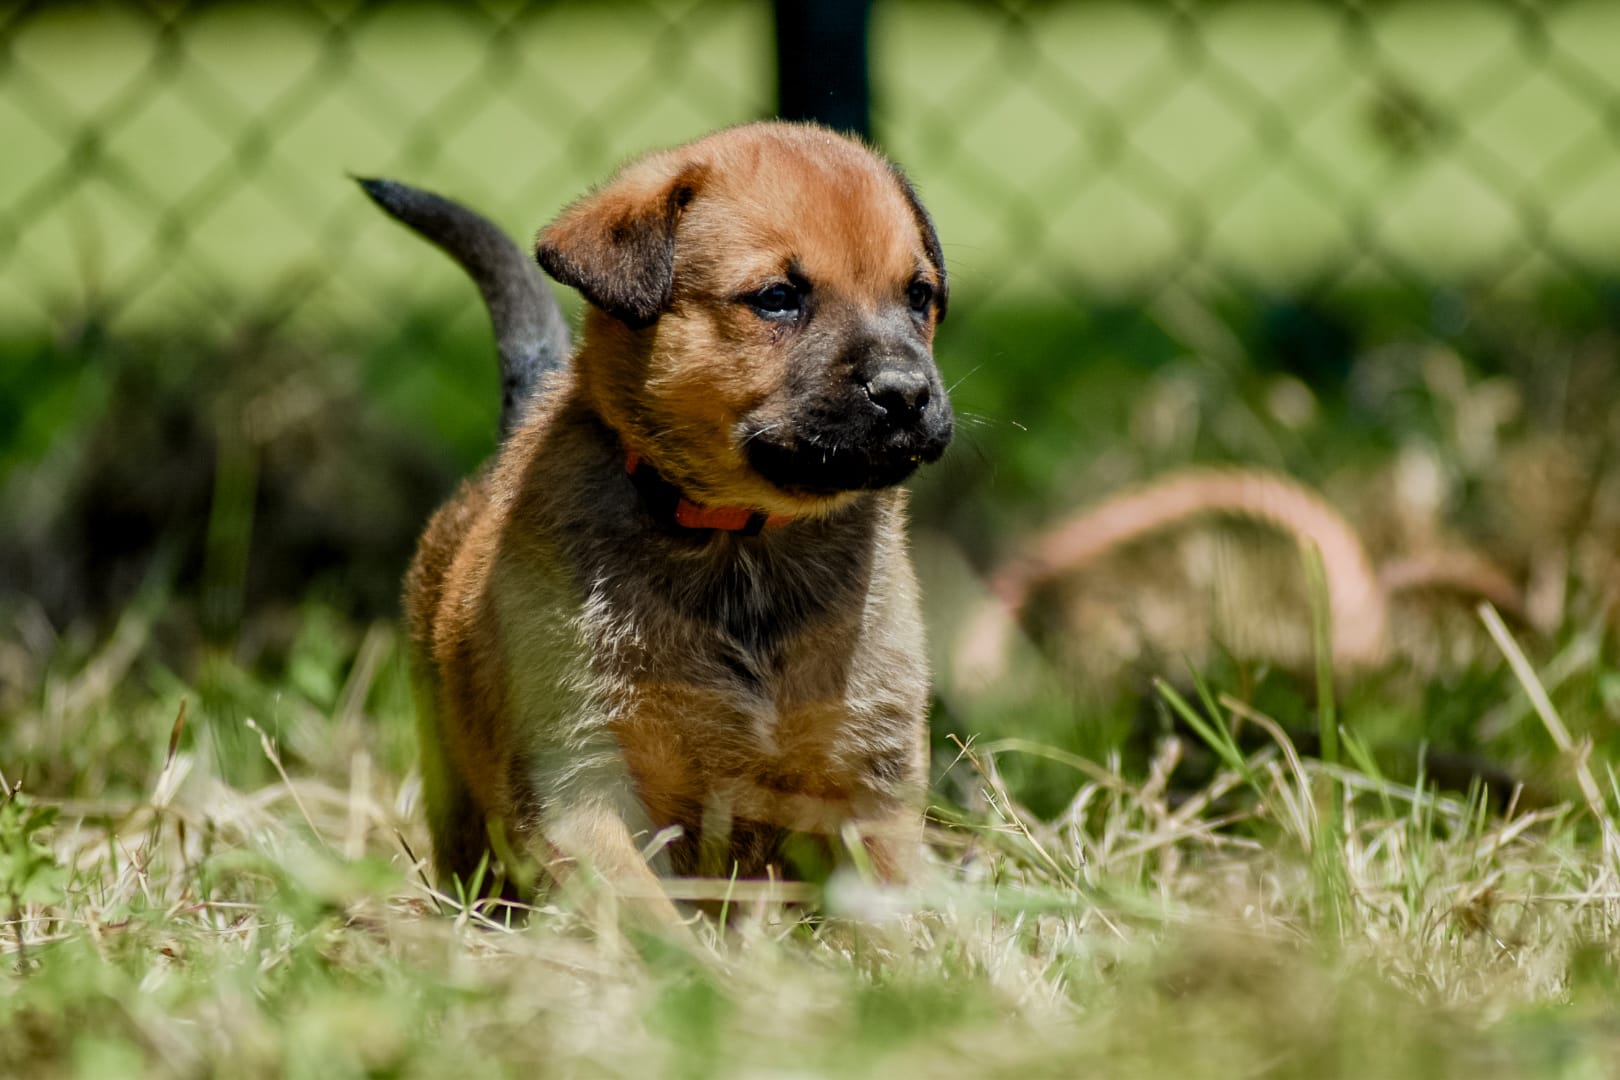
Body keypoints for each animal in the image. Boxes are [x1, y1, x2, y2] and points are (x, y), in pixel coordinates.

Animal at [362, 122, 952, 926]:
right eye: (777, 299)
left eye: (918, 295)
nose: (906, 393)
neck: (743, 538)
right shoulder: (579, 778)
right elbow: (643, 912)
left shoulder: (872, 772)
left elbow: (893, 910)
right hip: (457, 794)